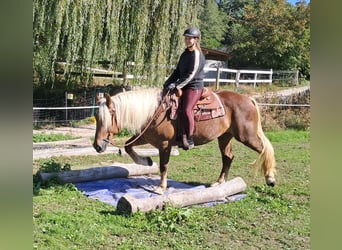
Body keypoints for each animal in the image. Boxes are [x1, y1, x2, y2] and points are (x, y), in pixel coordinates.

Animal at [93, 88, 276, 193]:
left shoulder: (164, 144)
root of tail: (248, 99)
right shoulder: (145, 136)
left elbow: (164, 166)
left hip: (246, 136)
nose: (97, 146)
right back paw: (219, 182)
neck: (156, 111)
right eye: (97, 117)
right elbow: (128, 146)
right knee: (228, 157)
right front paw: (146, 161)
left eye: (106, 119)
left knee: (265, 149)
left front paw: (161, 188)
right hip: (225, 137)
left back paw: (270, 178)